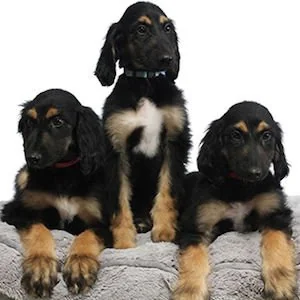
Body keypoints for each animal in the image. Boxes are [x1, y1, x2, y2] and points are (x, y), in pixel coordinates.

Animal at [1, 89, 112, 298]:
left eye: (58, 122)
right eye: (29, 122)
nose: (32, 158)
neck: (62, 172)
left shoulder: (108, 224)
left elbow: (88, 234)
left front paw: (80, 264)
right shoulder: (17, 211)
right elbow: (39, 229)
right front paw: (40, 266)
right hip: (23, 175)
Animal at [95, 1, 191, 247]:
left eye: (167, 28)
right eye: (141, 29)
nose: (168, 59)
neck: (146, 83)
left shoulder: (173, 142)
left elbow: (167, 190)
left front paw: (165, 231)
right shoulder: (116, 148)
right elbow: (119, 199)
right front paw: (123, 240)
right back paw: (139, 222)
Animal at [173, 101, 298, 300]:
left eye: (267, 136)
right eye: (235, 135)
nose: (254, 173)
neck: (241, 187)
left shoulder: (277, 214)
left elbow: (277, 241)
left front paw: (281, 281)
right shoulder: (195, 225)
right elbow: (194, 256)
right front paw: (189, 291)